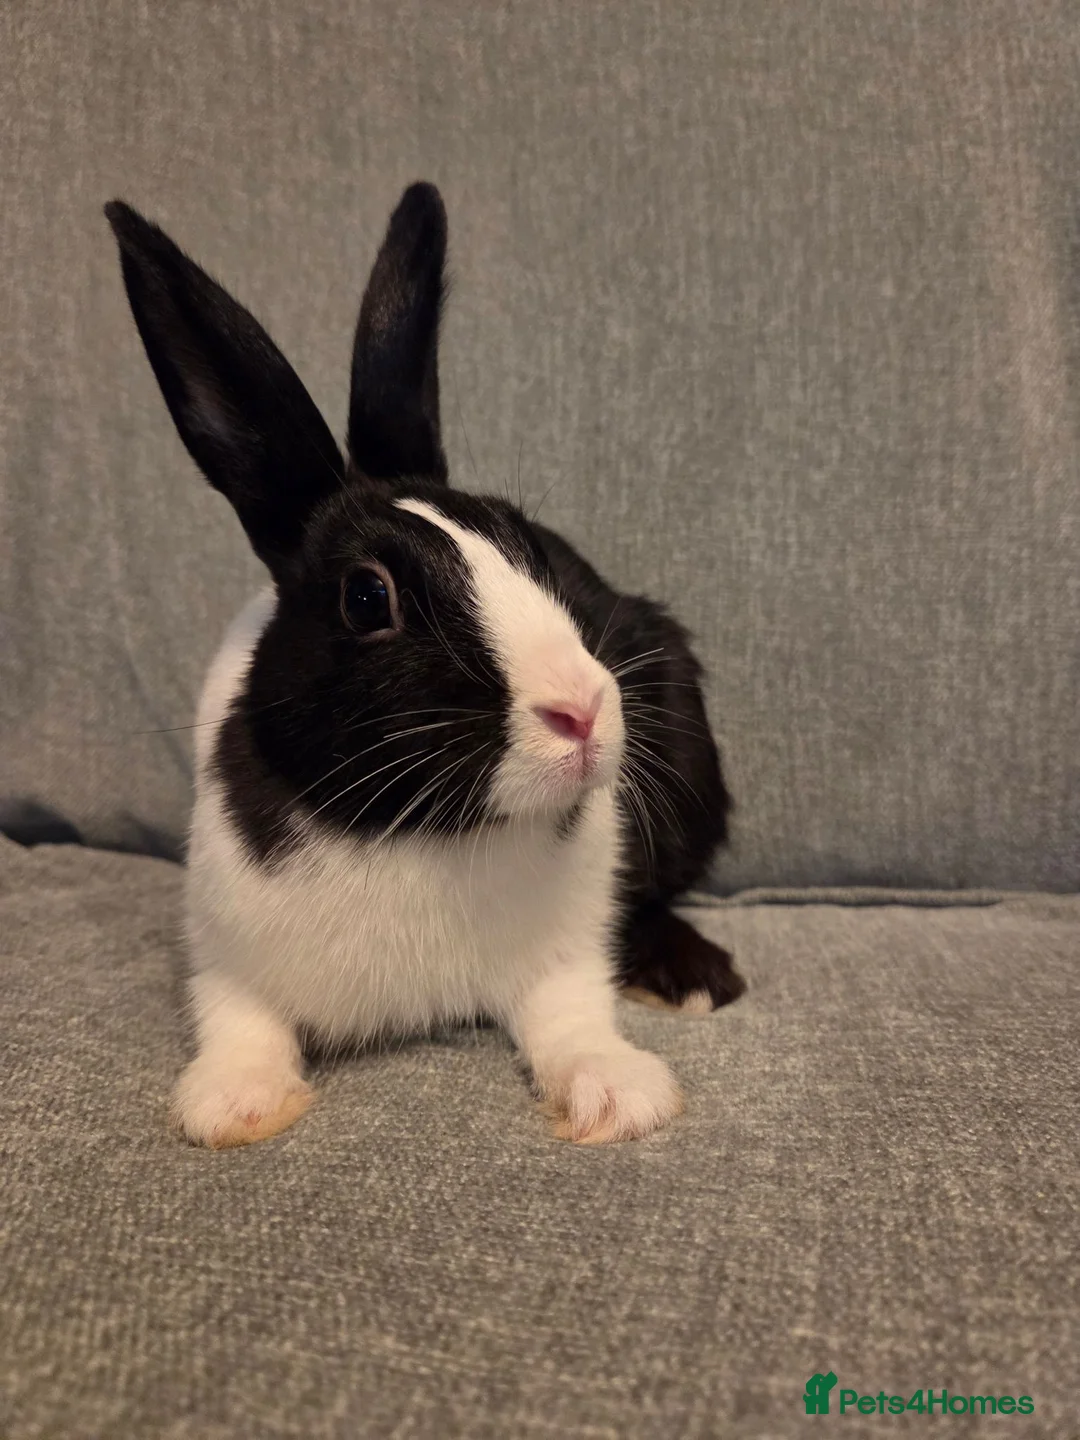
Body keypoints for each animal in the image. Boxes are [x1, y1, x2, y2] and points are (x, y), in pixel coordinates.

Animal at [104, 182, 745, 1149]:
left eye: (528, 546)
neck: (418, 828)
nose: (584, 710)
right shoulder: (226, 958)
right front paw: (234, 1104)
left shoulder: (565, 954)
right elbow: (238, 1022)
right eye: (368, 599)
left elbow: (572, 1017)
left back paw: (697, 977)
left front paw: (619, 1094)